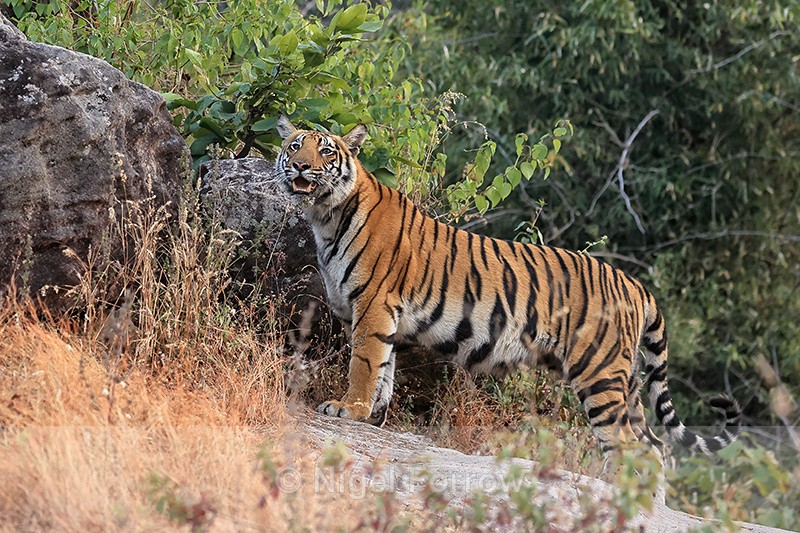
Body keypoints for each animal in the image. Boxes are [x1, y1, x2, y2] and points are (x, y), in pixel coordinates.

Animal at [274, 115, 742, 456]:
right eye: (295, 145)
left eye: (326, 150)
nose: (299, 165)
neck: (325, 217)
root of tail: (636, 285)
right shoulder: (374, 311)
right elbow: (385, 367)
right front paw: (374, 414)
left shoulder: (373, 305)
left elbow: (365, 363)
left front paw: (349, 408)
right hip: (624, 380)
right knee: (653, 447)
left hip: (600, 373)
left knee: (627, 444)